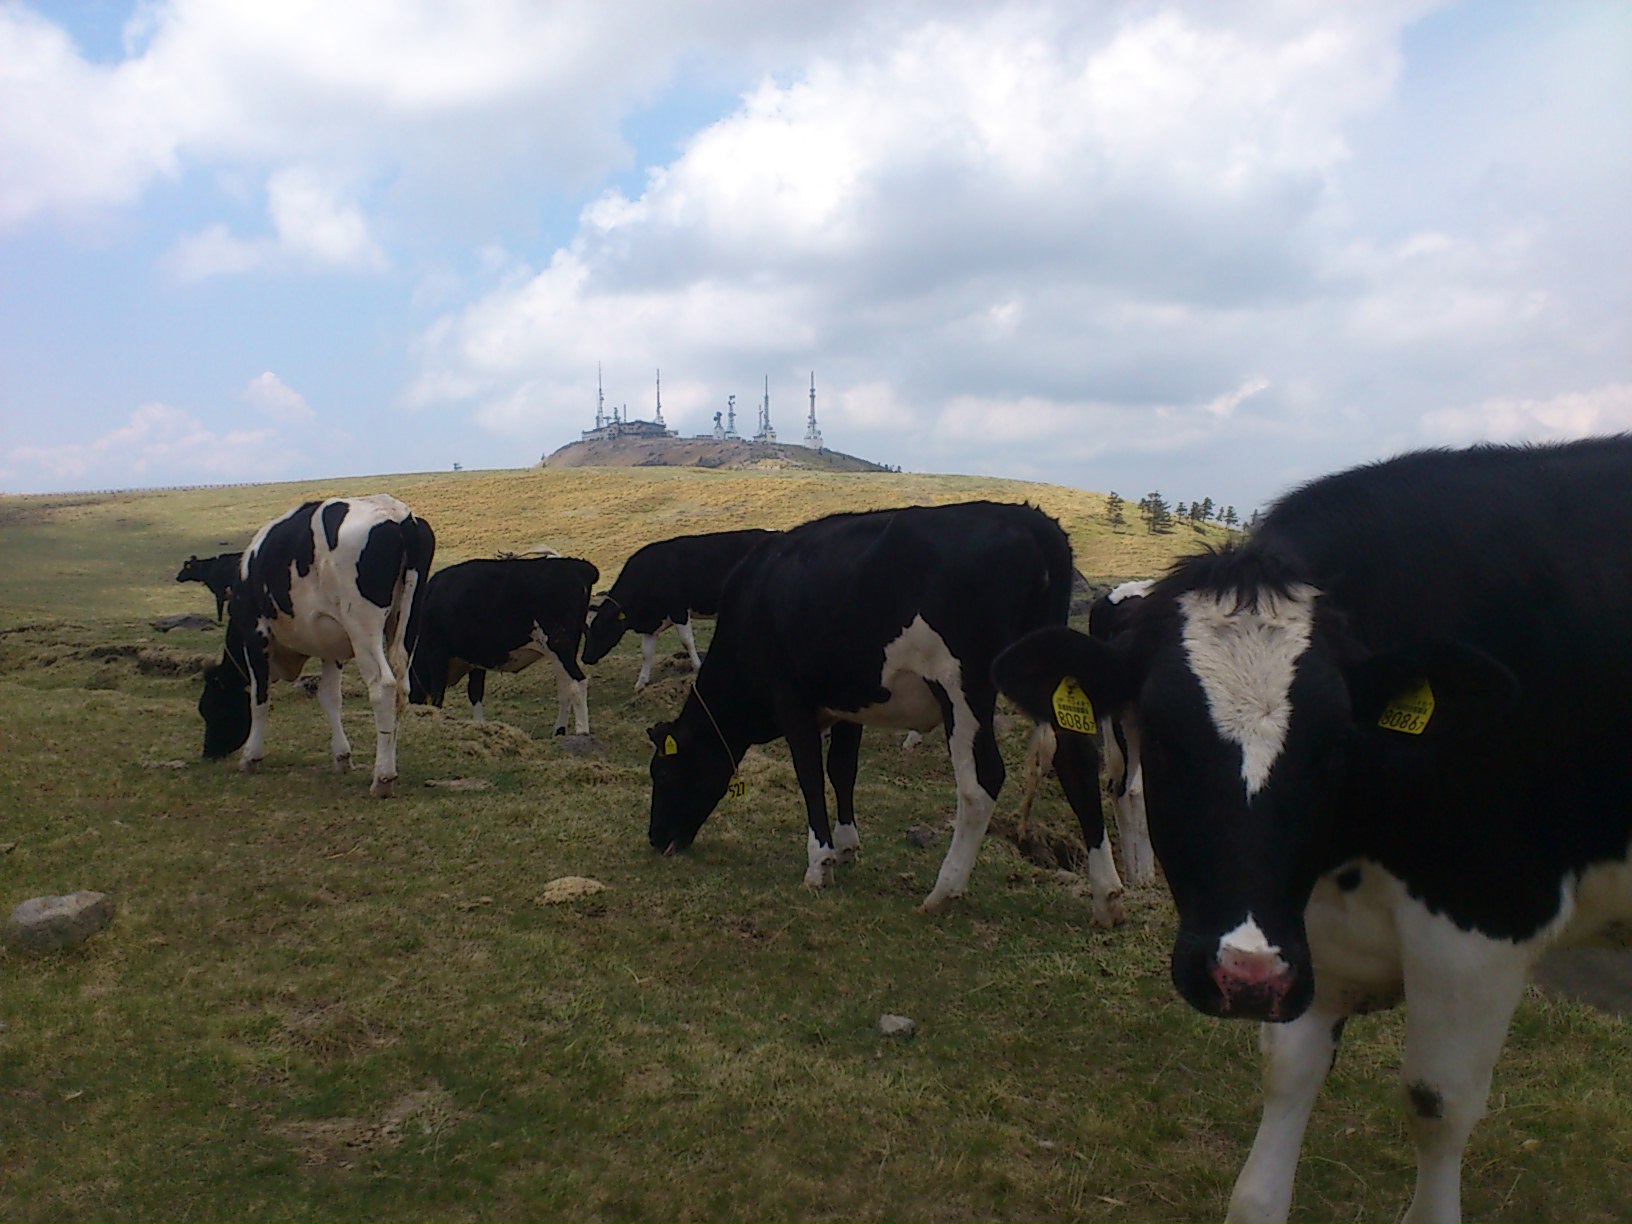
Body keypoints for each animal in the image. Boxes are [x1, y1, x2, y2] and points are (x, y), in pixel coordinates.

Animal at [199, 492, 434, 799]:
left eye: (208, 706)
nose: (208, 752)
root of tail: (397, 514)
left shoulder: (256, 633)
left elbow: (259, 697)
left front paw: (251, 757)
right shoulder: (330, 647)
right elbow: (330, 698)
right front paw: (342, 756)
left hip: (363, 627)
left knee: (383, 687)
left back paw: (382, 778)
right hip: (407, 623)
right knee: (401, 689)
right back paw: (389, 767)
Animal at [411, 558, 603, 737]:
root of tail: (578, 566)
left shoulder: (437, 653)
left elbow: (438, 695)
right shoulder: (477, 658)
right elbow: (475, 693)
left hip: (559, 643)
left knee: (578, 682)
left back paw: (582, 732)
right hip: (560, 651)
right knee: (565, 687)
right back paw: (559, 731)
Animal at [584, 528, 780, 691]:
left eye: (600, 629)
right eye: (587, 630)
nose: (585, 658)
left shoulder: (678, 610)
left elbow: (687, 641)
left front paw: (698, 667)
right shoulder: (653, 623)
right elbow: (646, 652)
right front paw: (641, 682)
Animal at [643, 502, 1129, 926]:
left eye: (662, 774)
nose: (655, 839)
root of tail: (1030, 520)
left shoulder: (792, 700)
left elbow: (809, 775)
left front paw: (819, 865)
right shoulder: (848, 702)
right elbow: (842, 769)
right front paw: (847, 846)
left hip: (965, 686)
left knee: (982, 781)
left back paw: (943, 891)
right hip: (1052, 675)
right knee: (1077, 763)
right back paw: (1106, 896)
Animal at [985, 440, 1632, 1224]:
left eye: (1334, 746)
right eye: (1165, 738)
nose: (1244, 978)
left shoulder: (1484, 927)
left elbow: (1438, 1104)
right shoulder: (1307, 937)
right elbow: (1280, 1107)